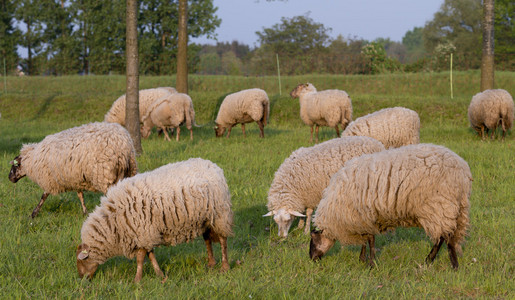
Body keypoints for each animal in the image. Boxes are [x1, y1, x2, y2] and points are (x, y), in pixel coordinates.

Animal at [8, 122, 137, 218]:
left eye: (15, 166)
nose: (9, 178)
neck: (32, 159)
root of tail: (124, 144)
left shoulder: (49, 178)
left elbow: (43, 196)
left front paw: (33, 214)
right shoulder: (76, 179)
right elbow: (81, 196)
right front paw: (85, 212)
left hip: (105, 175)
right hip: (127, 172)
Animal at [76, 158, 234, 282]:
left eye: (82, 260)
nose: (82, 279)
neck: (114, 223)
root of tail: (213, 165)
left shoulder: (143, 233)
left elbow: (141, 258)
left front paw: (137, 280)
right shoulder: (147, 234)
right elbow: (150, 255)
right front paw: (160, 274)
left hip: (220, 214)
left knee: (222, 240)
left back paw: (224, 267)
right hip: (205, 219)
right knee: (207, 239)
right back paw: (211, 263)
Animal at [308, 144, 474, 270]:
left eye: (313, 240)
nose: (311, 259)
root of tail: (463, 170)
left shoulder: (363, 216)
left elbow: (370, 240)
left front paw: (370, 263)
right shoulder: (364, 219)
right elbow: (366, 239)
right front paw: (362, 259)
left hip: (439, 205)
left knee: (444, 237)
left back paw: (447, 263)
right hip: (454, 207)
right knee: (446, 236)